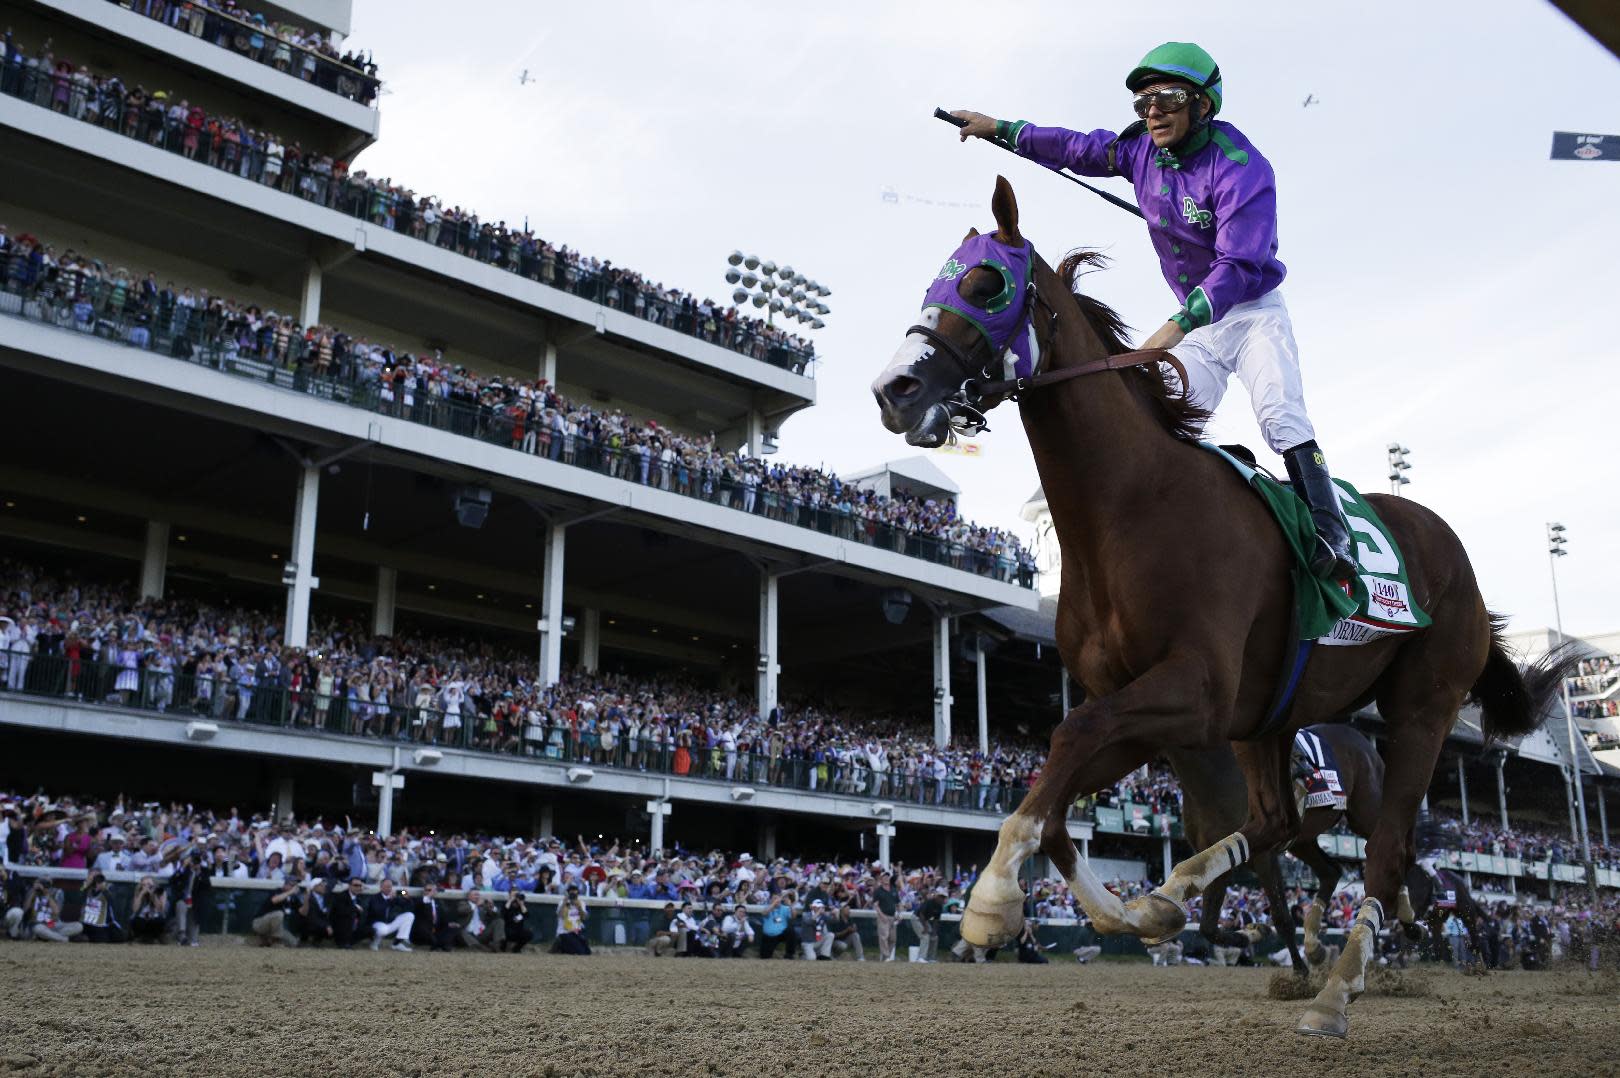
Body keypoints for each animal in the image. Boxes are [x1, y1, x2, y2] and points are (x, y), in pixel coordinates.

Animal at [874, 176, 1581, 1037]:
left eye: (985, 285)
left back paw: (1337, 990)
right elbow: (1062, 792)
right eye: (937, 284)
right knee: (1278, 821)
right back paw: (1187, 903)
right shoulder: (1147, 702)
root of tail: (1455, 554)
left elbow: (1068, 741)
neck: (1131, 505)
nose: (894, 390)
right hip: (1269, 719)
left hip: (1422, 708)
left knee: (1389, 854)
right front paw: (1132, 910)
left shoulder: (1194, 691)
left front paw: (991, 901)